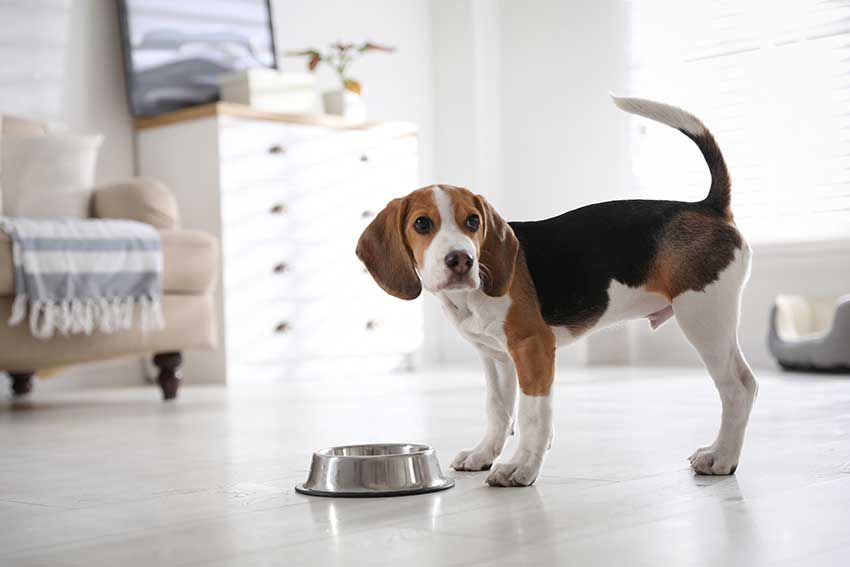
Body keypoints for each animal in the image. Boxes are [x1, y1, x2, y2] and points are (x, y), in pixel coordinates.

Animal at [356, 97, 756, 488]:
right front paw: (484, 455)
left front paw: (520, 468)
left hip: (704, 318)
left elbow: (533, 415)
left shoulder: (533, 347)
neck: (470, 297)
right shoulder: (496, 358)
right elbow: (498, 411)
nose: (461, 259)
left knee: (738, 387)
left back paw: (721, 458)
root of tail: (707, 207)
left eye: (473, 221)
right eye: (422, 224)